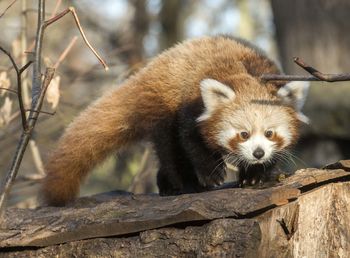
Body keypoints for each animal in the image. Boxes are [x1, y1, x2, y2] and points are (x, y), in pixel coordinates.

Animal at [42, 35, 308, 206]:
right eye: (243, 134)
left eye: (269, 133)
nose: (258, 153)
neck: (248, 72)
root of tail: (153, 66)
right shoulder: (190, 105)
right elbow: (190, 140)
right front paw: (212, 173)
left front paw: (255, 175)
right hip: (162, 107)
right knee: (170, 150)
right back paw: (182, 184)